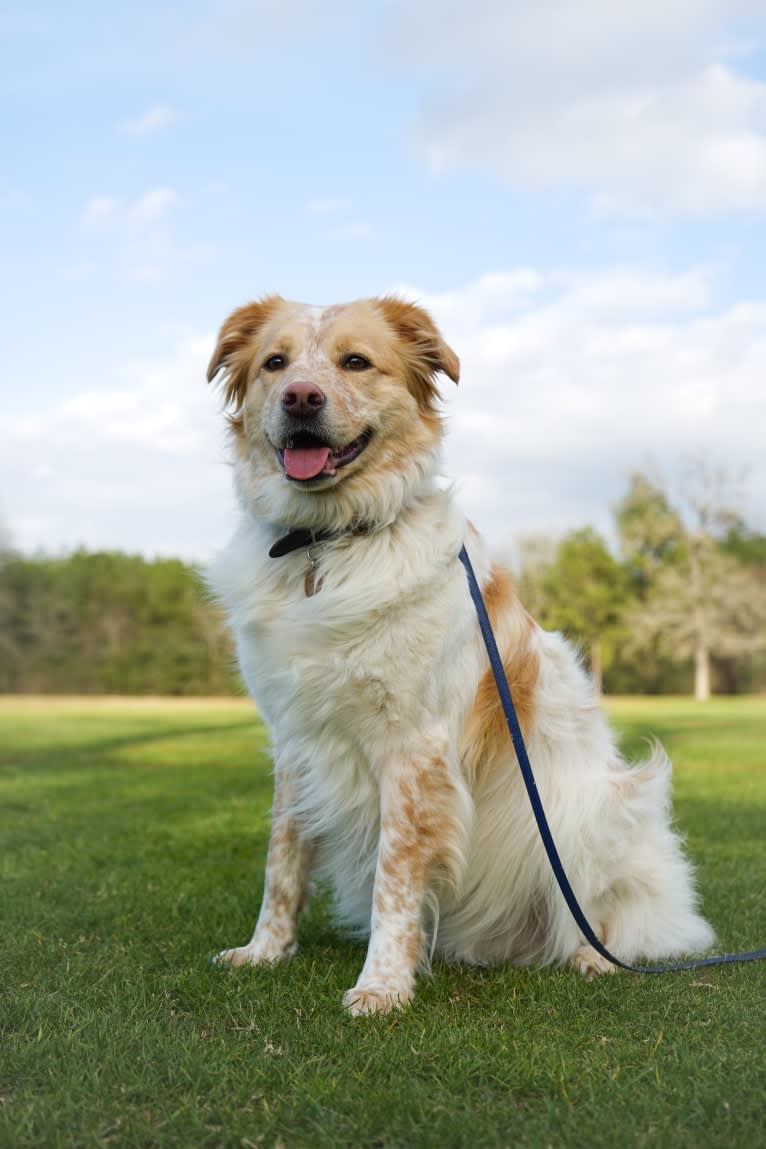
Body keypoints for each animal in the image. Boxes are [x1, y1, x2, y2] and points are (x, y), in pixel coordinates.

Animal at [206, 296, 716, 1015]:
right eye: (275, 363)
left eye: (355, 362)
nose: (301, 397)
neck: (326, 546)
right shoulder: (295, 742)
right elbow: (283, 859)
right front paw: (265, 951)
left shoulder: (414, 748)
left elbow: (394, 875)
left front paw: (382, 985)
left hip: (594, 808)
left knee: (611, 917)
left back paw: (595, 958)